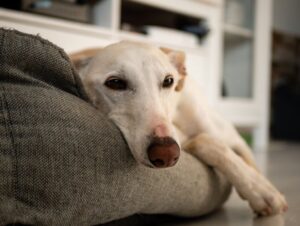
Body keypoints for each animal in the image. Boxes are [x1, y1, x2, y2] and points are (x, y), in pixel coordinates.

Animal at [70, 41, 288, 217]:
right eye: (115, 83)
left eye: (168, 81)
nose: (167, 154)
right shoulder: (181, 139)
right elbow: (205, 142)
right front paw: (258, 190)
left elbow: (237, 156)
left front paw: (261, 190)